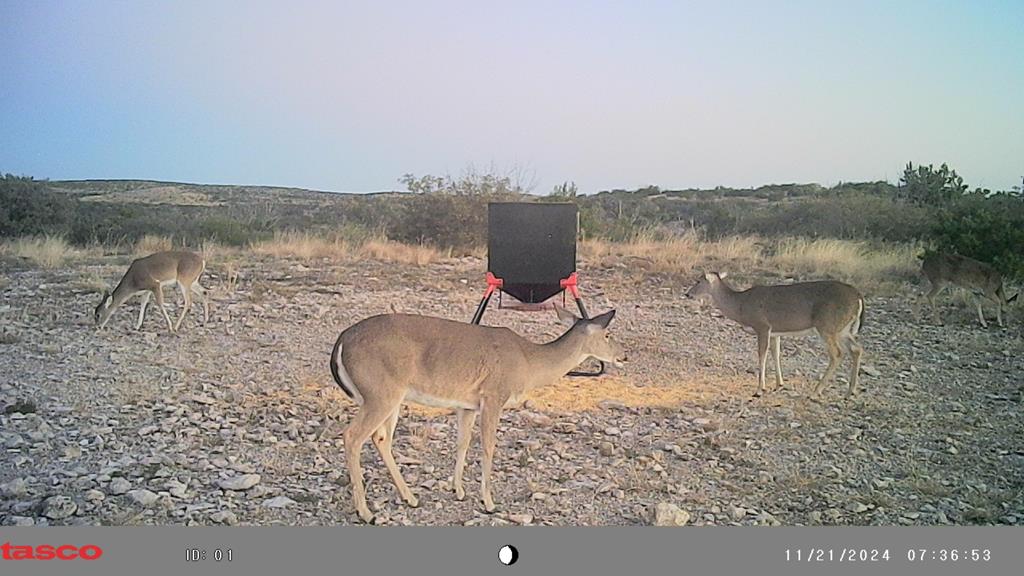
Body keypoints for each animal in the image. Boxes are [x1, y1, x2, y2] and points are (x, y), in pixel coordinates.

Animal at [327, 307, 622, 522]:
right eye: (608, 334)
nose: (622, 357)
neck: (528, 362)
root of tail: (341, 341)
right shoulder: (493, 396)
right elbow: (488, 446)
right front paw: (489, 502)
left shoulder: (467, 404)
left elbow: (463, 443)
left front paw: (458, 490)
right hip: (380, 393)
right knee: (352, 436)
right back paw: (366, 512)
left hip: (390, 398)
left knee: (380, 439)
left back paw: (410, 498)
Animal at [688, 270, 864, 397]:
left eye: (698, 281)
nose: (687, 294)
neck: (741, 305)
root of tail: (858, 296)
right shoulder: (775, 332)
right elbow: (776, 353)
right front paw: (779, 384)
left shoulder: (762, 326)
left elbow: (762, 355)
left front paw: (760, 389)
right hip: (843, 329)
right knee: (856, 349)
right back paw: (851, 391)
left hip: (827, 325)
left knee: (837, 354)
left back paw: (816, 391)